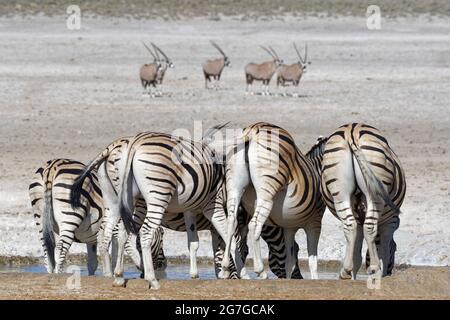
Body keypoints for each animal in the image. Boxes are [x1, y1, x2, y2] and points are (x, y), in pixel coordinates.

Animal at [31, 159, 165, 276]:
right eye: (162, 234)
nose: (164, 264)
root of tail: (53, 166)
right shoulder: (116, 227)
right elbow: (121, 249)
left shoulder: (91, 238)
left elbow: (93, 263)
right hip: (70, 216)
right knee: (60, 249)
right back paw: (59, 275)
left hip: (40, 216)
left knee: (47, 252)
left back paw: (51, 274)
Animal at [70, 131, 246, 288]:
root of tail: (133, 144)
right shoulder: (213, 205)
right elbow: (229, 237)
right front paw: (232, 271)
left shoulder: (189, 209)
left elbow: (194, 243)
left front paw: (195, 274)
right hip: (157, 195)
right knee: (144, 232)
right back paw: (151, 279)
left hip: (117, 200)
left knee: (112, 233)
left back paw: (116, 276)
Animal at [221, 122, 324, 280]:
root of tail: (253, 129)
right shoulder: (315, 222)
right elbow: (312, 261)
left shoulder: (289, 226)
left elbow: (289, 261)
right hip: (266, 193)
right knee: (254, 225)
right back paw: (260, 270)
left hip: (234, 188)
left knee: (231, 222)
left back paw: (225, 266)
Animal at [306, 122, 408, 278]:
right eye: (395, 249)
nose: (391, 272)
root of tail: (352, 131)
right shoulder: (390, 222)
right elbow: (384, 250)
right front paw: (381, 272)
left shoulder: (359, 216)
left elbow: (357, 254)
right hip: (375, 194)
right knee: (370, 227)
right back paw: (373, 267)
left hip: (340, 194)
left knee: (350, 226)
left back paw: (345, 270)